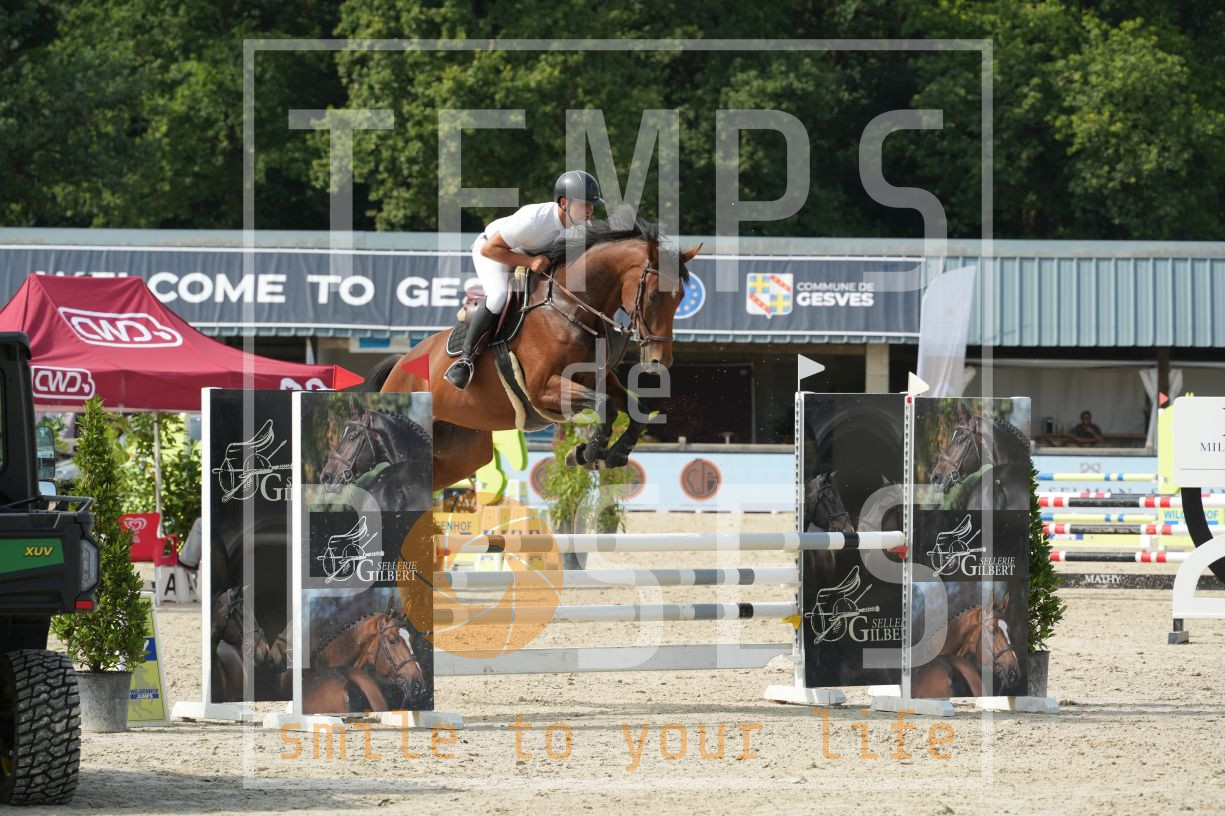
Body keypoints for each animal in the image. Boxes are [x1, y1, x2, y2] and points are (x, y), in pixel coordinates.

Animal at [366, 218, 700, 490]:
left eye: (681, 297)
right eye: (654, 296)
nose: (659, 361)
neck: (570, 308)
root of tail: (400, 363)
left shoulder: (597, 379)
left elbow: (637, 410)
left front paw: (609, 456)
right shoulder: (543, 389)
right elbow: (606, 407)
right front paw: (587, 453)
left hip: (459, 453)